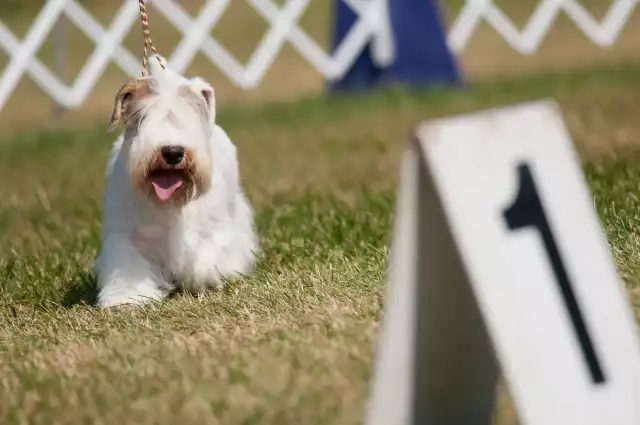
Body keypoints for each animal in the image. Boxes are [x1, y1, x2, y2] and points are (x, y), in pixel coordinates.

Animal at [94, 57, 258, 308]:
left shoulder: (209, 232)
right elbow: (128, 267)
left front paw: (205, 279)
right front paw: (126, 298)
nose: (172, 152)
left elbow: (205, 259)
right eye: (143, 117)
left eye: (189, 116)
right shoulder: (128, 235)